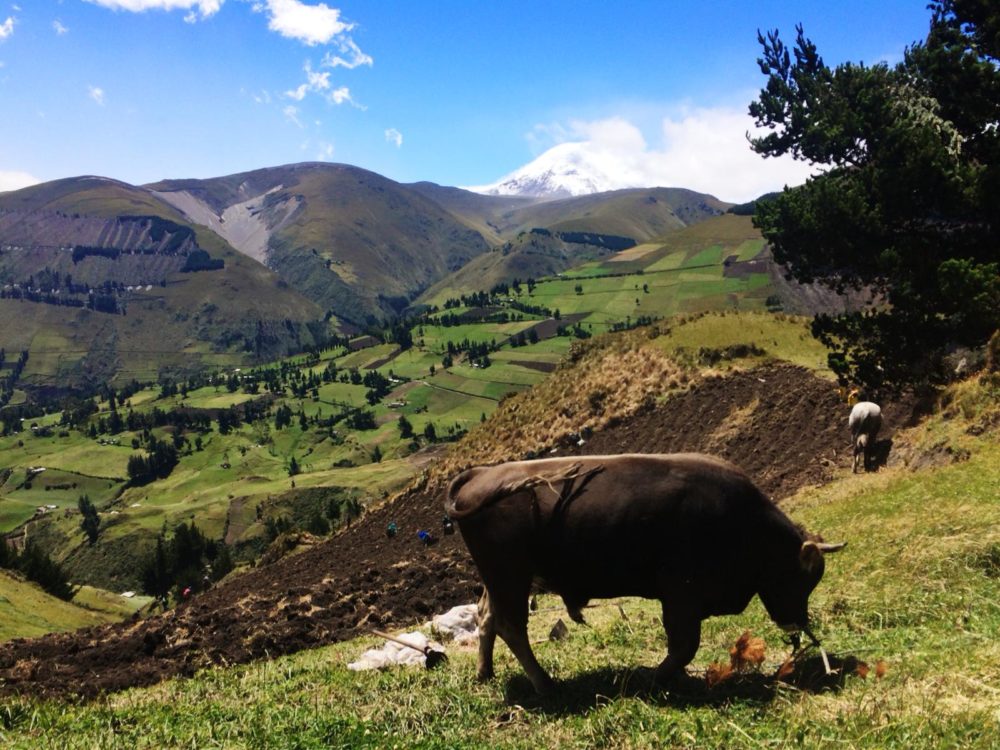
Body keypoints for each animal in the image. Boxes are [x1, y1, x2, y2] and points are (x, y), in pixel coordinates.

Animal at [446, 452, 844, 692]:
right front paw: (657, 677)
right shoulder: (681, 595)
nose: (797, 623)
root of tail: (483, 474)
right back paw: (545, 684)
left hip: (499, 581)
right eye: (798, 578)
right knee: (511, 627)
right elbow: (684, 645)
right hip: (510, 577)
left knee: (486, 617)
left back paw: (486, 673)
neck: (745, 522)